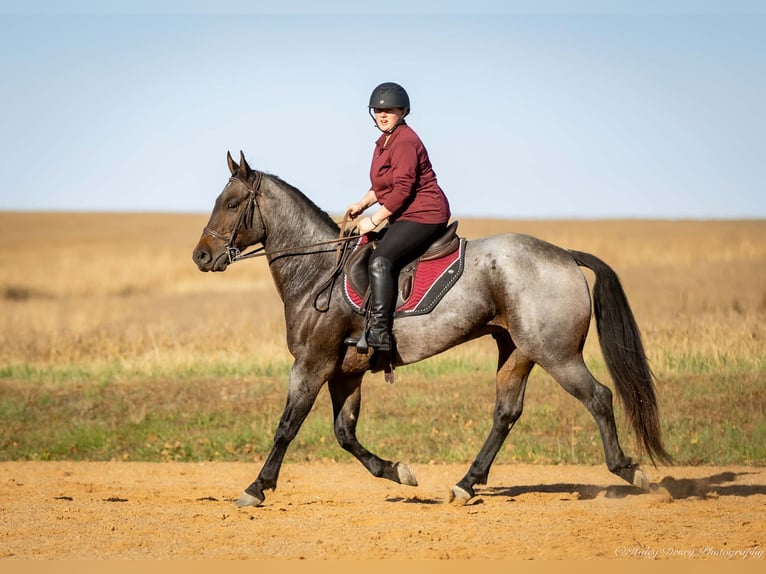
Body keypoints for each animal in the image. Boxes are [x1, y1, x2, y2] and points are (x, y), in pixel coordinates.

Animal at [192, 151, 672, 507]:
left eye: (232, 204)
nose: (201, 256)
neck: (317, 272)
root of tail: (565, 255)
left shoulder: (312, 364)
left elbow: (287, 426)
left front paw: (257, 487)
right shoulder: (344, 373)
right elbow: (345, 435)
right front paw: (398, 472)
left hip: (557, 353)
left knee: (598, 397)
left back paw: (629, 471)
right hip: (517, 351)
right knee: (506, 413)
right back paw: (466, 483)